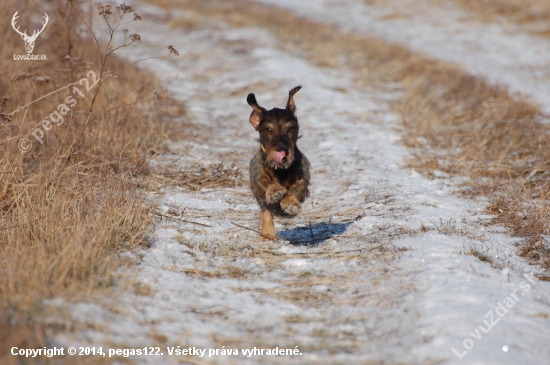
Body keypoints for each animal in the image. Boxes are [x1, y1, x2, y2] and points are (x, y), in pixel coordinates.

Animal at [249, 86, 312, 240]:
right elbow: (265, 182)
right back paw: (267, 235)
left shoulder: (302, 182)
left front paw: (290, 203)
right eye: (268, 129)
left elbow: (295, 189)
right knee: (266, 215)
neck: (281, 170)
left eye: (291, 128)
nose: (282, 151)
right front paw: (275, 190)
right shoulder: (257, 179)